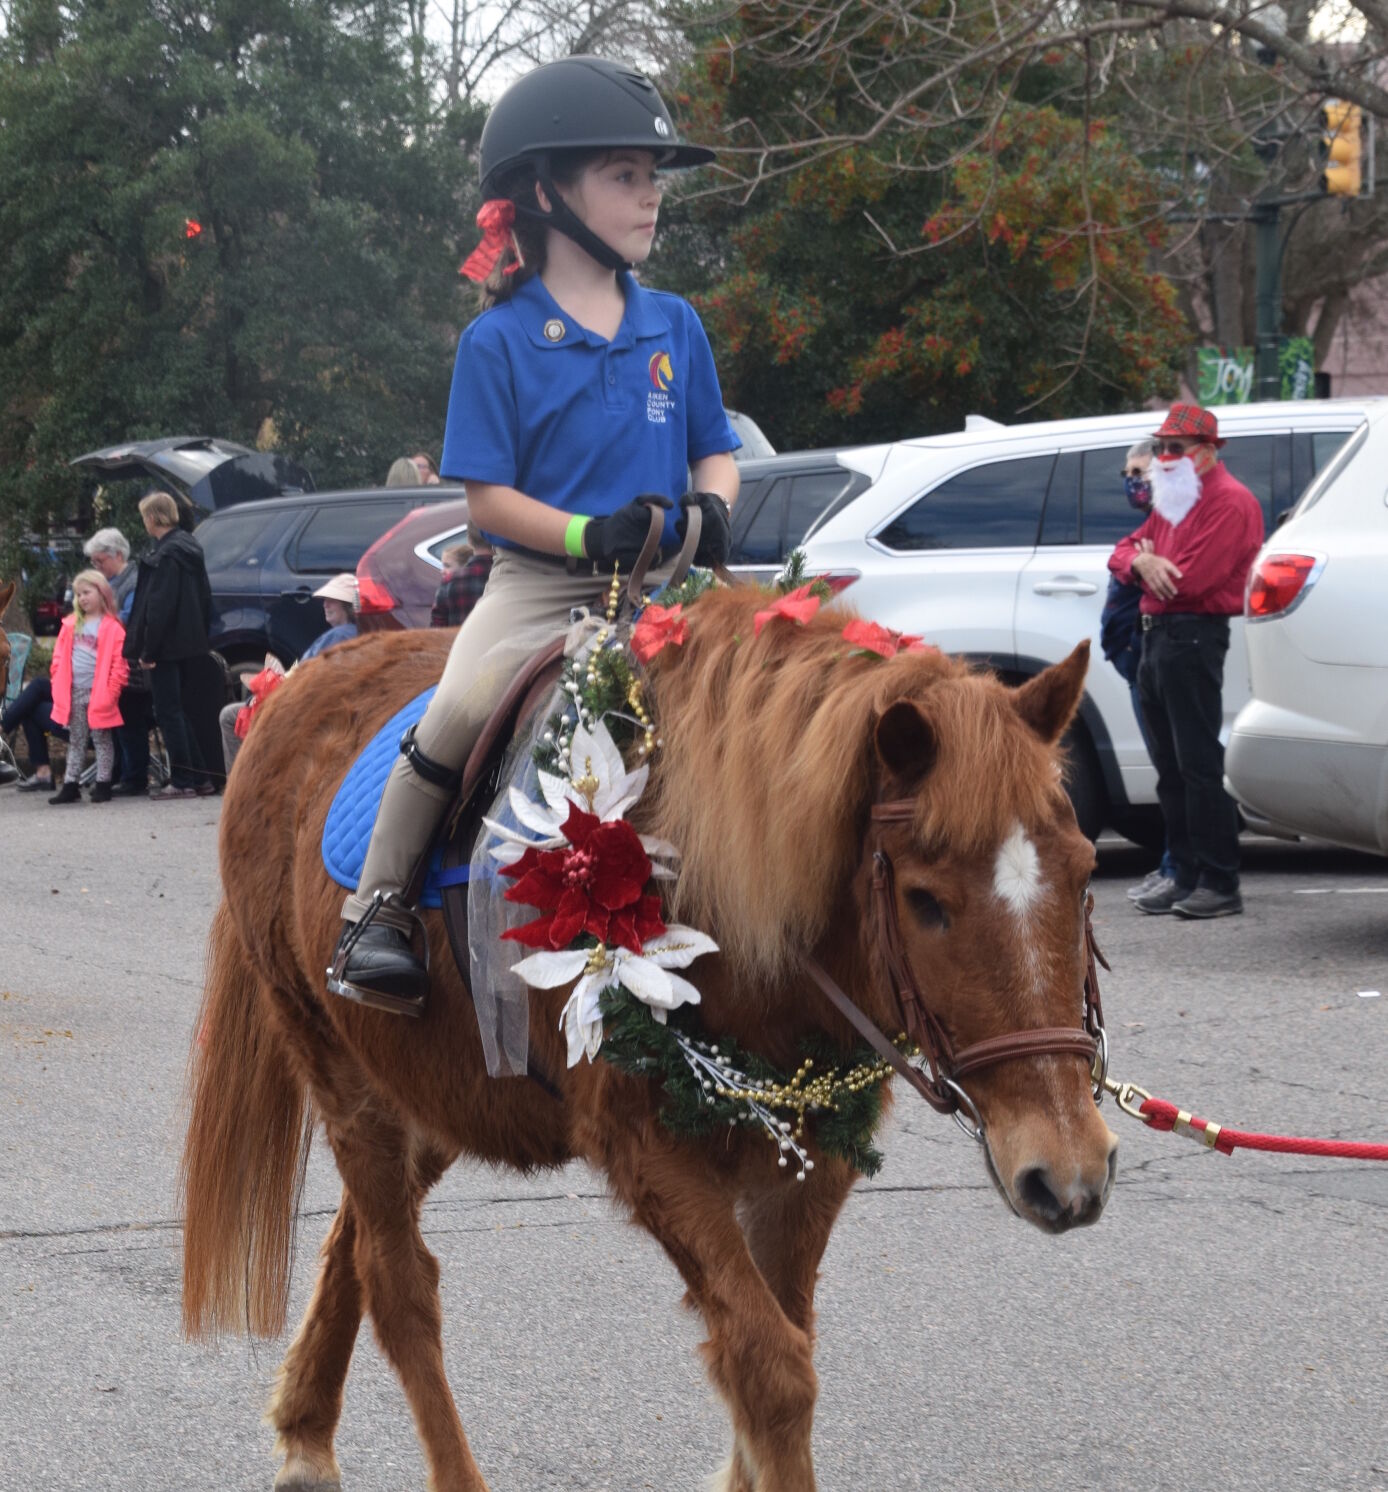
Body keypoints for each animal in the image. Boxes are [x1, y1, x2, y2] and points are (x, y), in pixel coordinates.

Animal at [181, 587, 1116, 1492]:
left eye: (1085, 870)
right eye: (926, 900)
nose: (1067, 1172)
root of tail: (289, 692)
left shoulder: (812, 1166)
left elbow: (778, 1349)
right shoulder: (654, 1154)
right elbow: (771, 1367)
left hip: (434, 1093)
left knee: (356, 1243)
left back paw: (305, 1429)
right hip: (342, 1078)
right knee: (399, 1285)